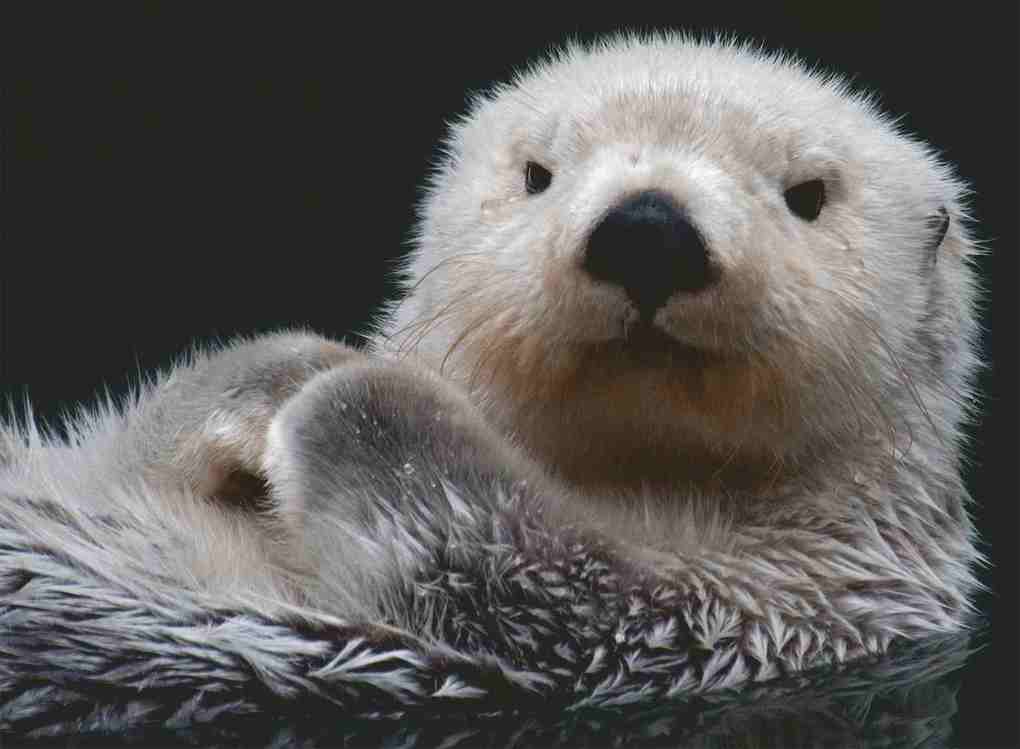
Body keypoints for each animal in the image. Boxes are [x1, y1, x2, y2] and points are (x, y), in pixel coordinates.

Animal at [0, 33, 981, 692]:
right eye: (538, 173)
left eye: (809, 195)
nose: (647, 229)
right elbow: (128, 442)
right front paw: (279, 373)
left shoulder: (767, 607)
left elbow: (520, 565)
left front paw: (350, 388)